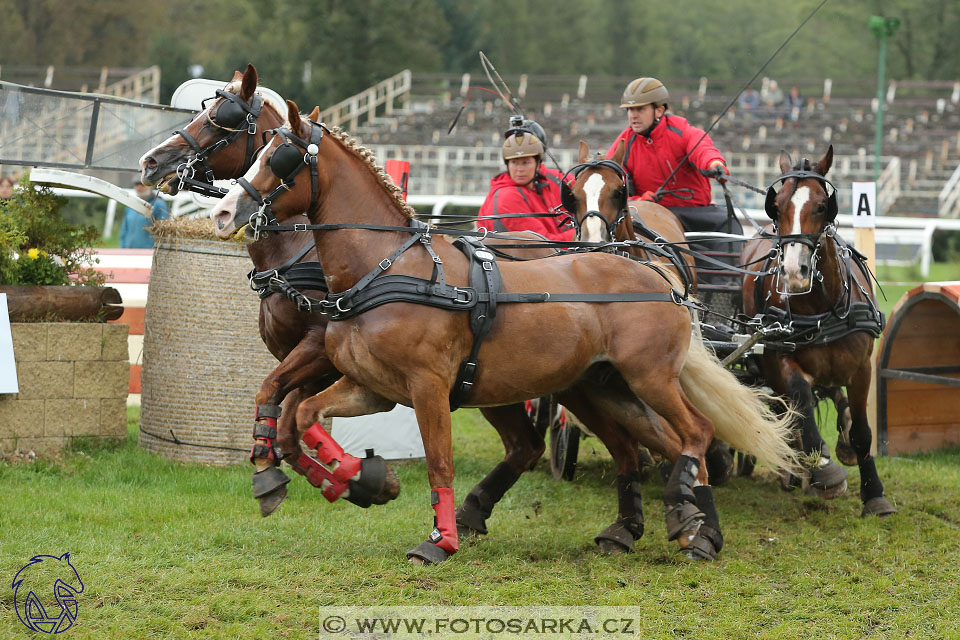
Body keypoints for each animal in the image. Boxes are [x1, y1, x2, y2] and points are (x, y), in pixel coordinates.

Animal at [214, 97, 800, 564]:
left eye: (282, 158)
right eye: (259, 150)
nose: (223, 211)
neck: (386, 267)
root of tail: (660, 275)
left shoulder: (427, 388)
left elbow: (440, 463)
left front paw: (439, 540)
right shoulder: (372, 387)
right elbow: (302, 415)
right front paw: (361, 481)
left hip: (649, 377)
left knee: (695, 435)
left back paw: (690, 519)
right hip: (598, 389)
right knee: (652, 446)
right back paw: (685, 526)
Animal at [744, 145, 892, 516]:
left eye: (823, 205)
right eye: (777, 205)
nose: (794, 272)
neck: (820, 308)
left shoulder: (861, 368)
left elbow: (862, 432)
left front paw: (874, 494)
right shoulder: (778, 360)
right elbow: (801, 402)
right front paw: (823, 470)